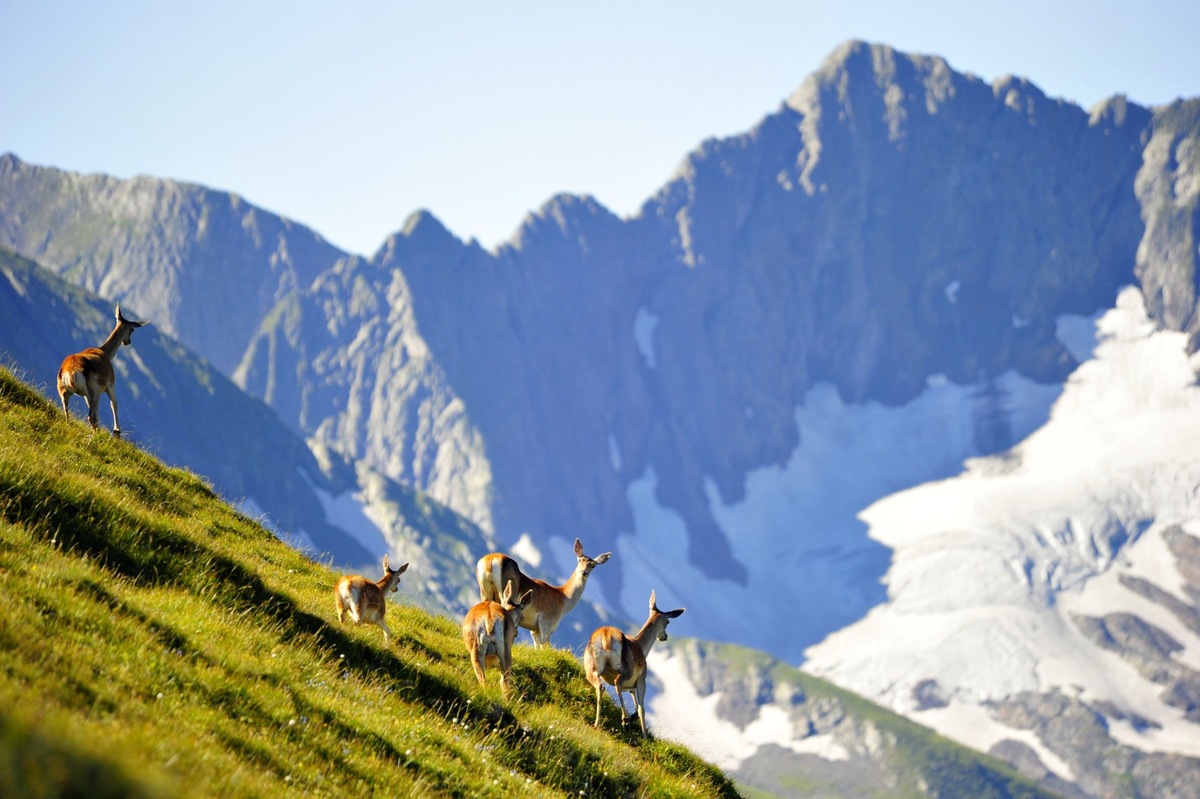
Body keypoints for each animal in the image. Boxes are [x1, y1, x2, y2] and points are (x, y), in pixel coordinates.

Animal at [55, 303, 148, 439]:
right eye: (132, 330)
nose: (128, 341)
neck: (105, 353)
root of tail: (70, 373)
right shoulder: (110, 384)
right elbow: (114, 403)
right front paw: (117, 431)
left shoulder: (86, 395)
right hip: (93, 391)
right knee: (91, 416)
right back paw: (97, 435)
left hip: (64, 390)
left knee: (67, 410)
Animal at [475, 537, 609, 643]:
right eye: (579, 560)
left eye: (593, 565)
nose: (584, 572)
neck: (563, 598)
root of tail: (490, 561)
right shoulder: (546, 623)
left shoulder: (534, 629)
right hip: (506, 593)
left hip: (485, 591)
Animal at [580, 587, 686, 739]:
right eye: (667, 623)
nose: (664, 637)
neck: (640, 646)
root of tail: (605, 636)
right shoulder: (641, 680)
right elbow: (642, 708)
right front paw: (645, 736)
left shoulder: (631, 687)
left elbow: (635, 704)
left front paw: (633, 719)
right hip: (625, 670)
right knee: (616, 683)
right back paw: (625, 721)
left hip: (591, 668)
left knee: (600, 686)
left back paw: (597, 723)